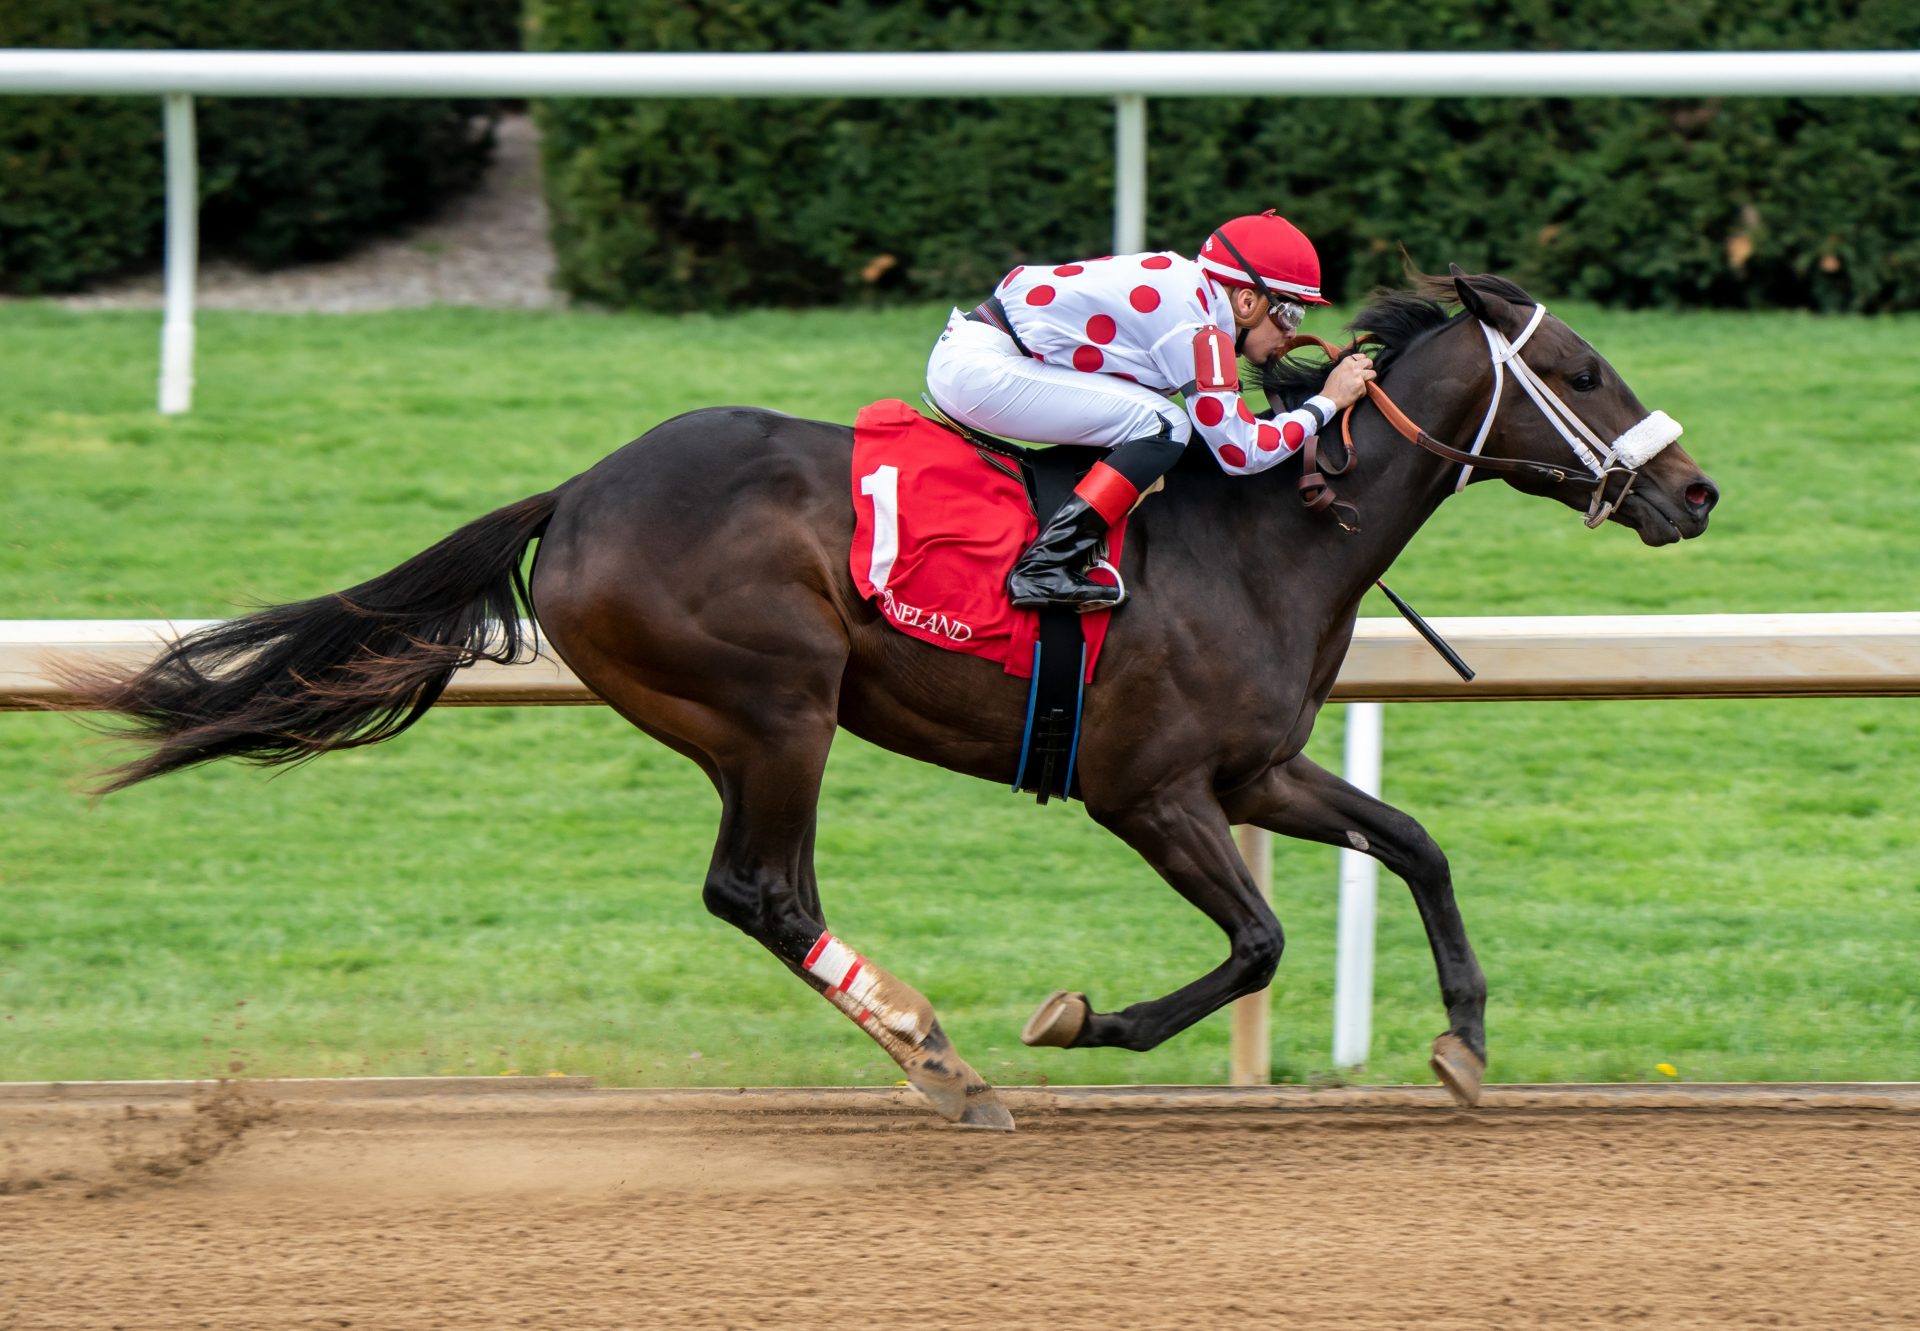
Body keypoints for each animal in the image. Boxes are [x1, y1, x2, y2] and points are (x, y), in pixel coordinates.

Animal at [60, 265, 1720, 1129]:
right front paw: (1079, 1016)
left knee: (760, 894)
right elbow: (1256, 941)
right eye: (1584, 365)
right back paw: (944, 1053)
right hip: (775, 706)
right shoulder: (1147, 789)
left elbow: (1414, 841)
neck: (1267, 531)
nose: (1695, 489)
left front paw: (1464, 1041)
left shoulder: (1251, 771)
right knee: (761, 889)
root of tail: (576, 494)